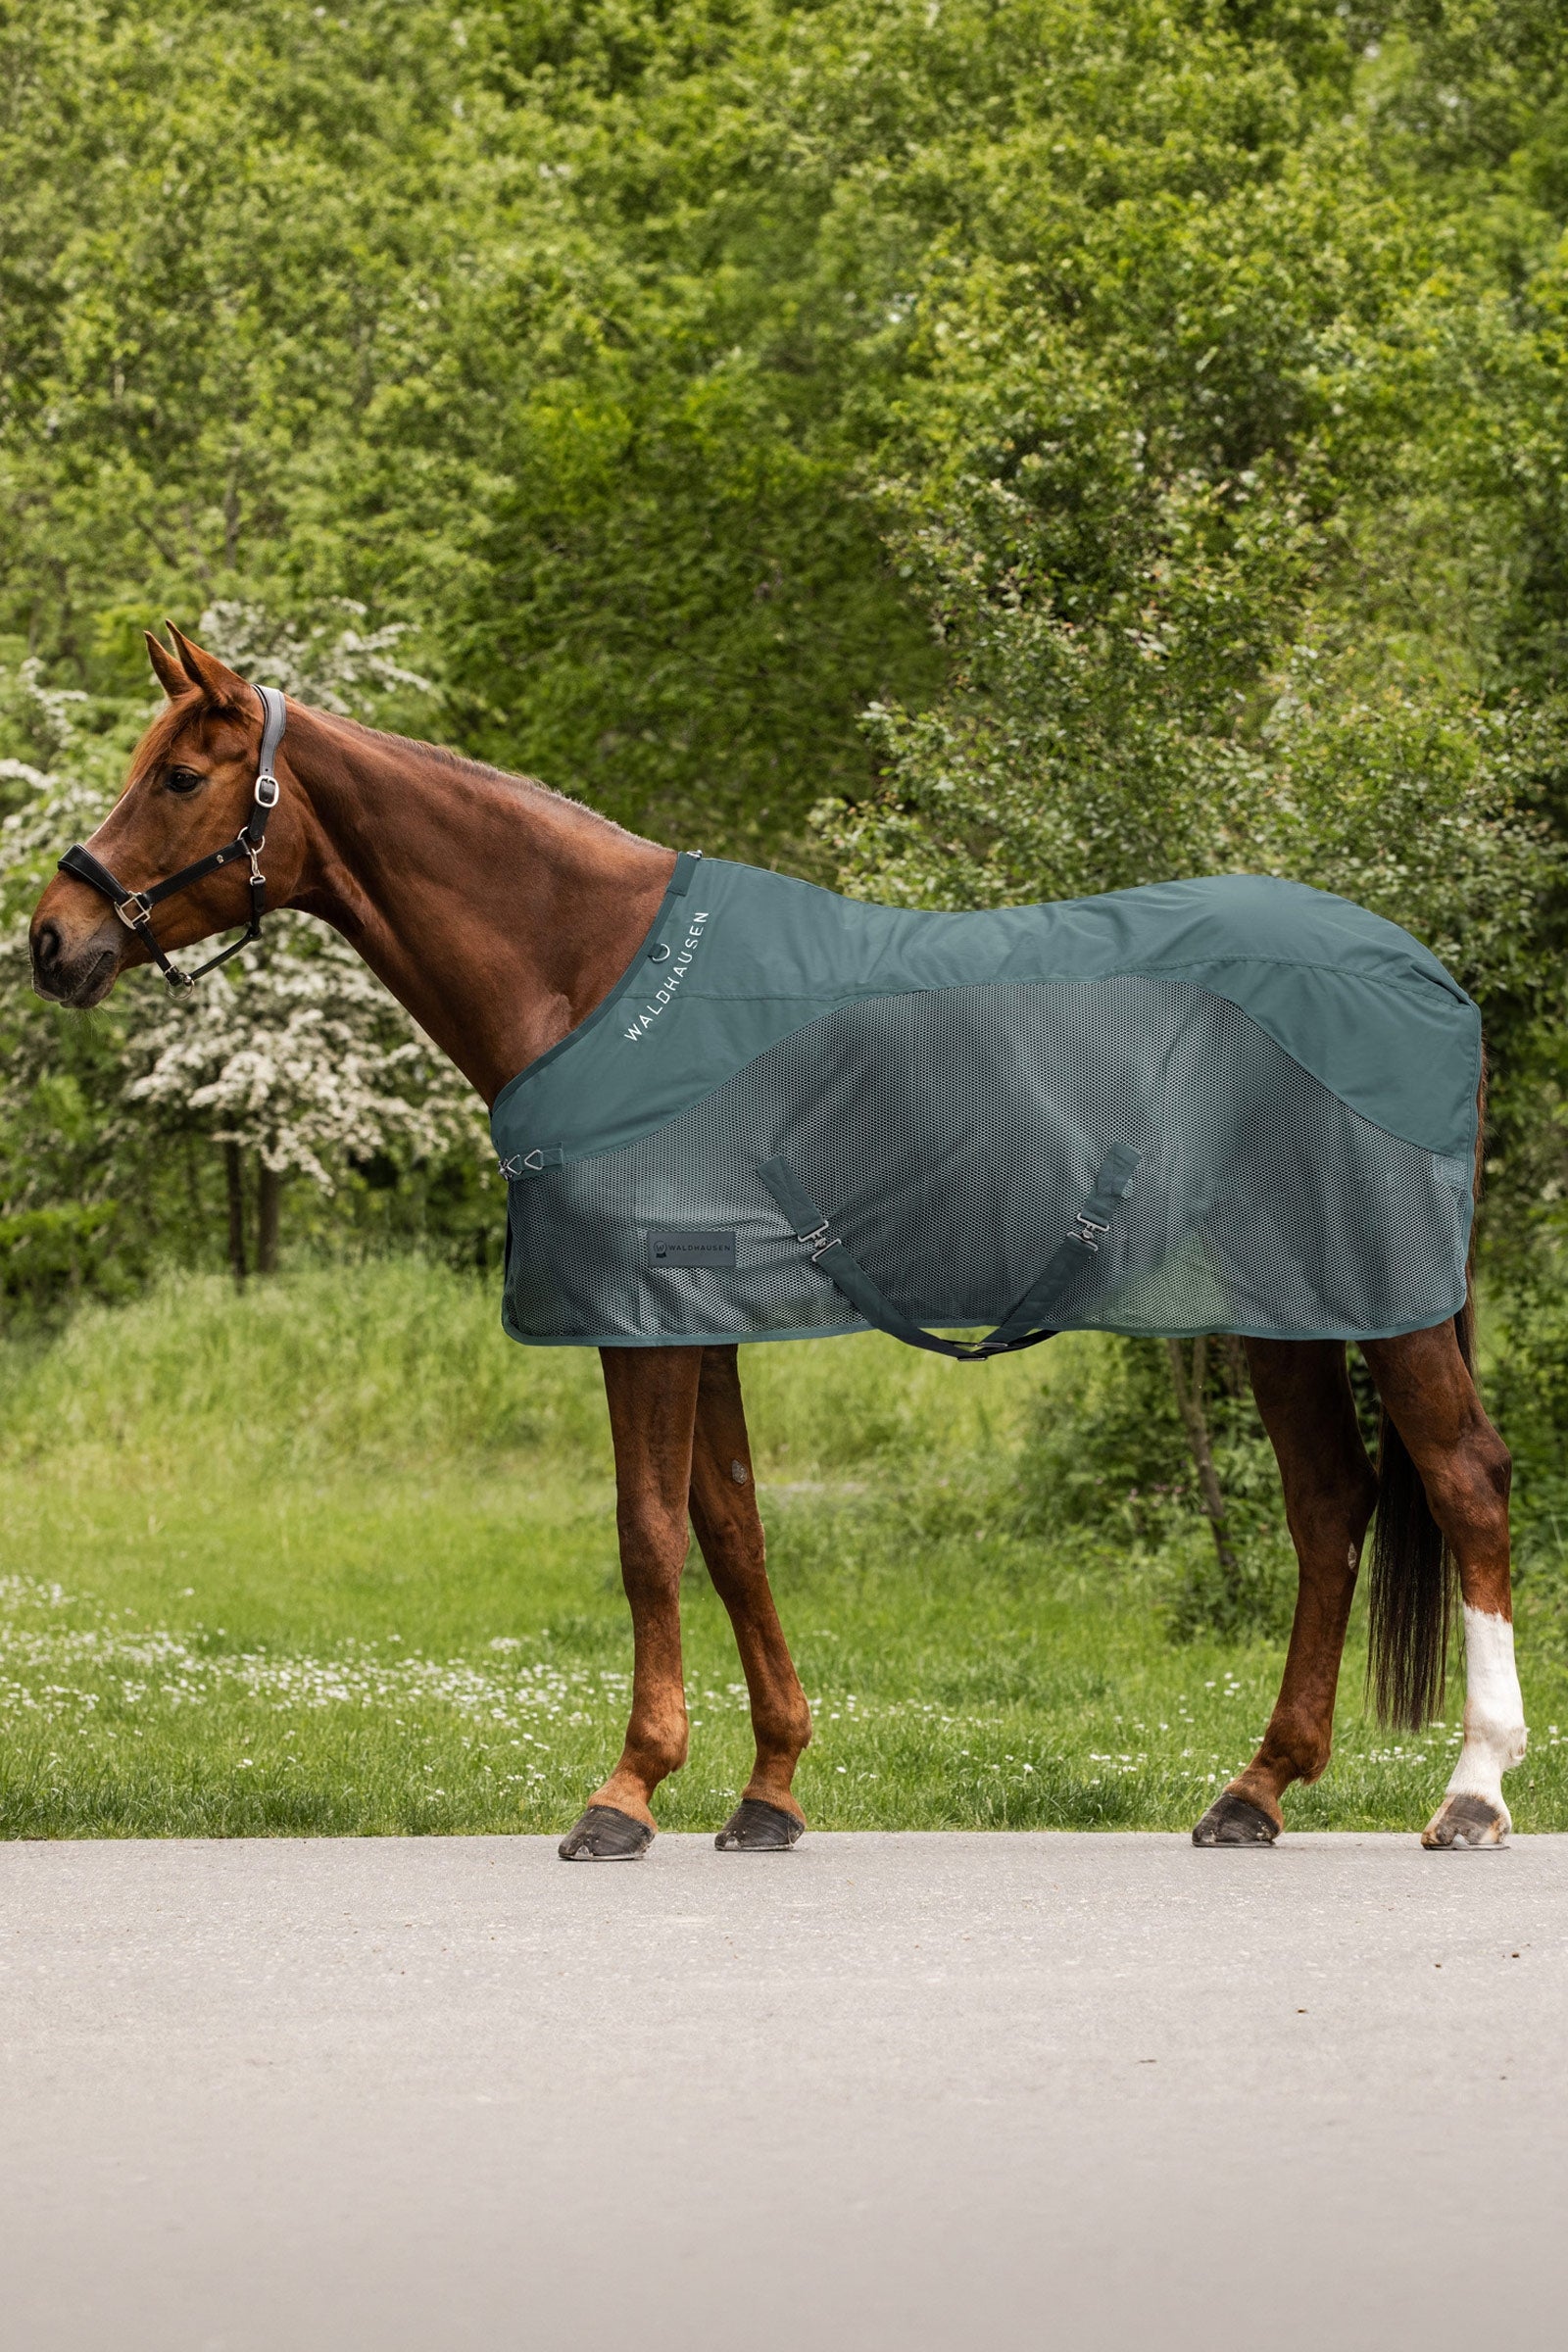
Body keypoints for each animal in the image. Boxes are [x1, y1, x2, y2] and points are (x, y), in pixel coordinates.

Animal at [27, 626, 1526, 1857]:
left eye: (180, 778)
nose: (53, 938)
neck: (594, 974)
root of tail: (1423, 973)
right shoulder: (699, 1320)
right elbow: (732, 1527)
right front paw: (768, 1791)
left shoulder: (640, 1318)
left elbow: (646, 1534)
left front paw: (625, 1794)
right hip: (1281, 1308)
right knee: (1331, 1505)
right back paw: (1254, 1791)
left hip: (1383, 1304)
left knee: (1463, 1483)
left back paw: (1473, 1792)